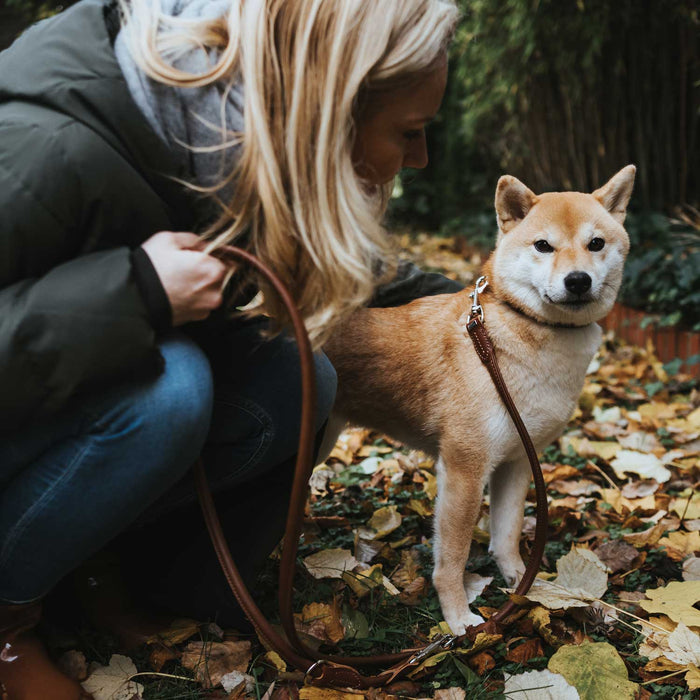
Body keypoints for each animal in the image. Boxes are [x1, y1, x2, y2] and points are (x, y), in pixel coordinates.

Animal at [326, 165, 636, 636]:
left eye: (596, 244)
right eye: (543, 245)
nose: (578, 280)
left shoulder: (517, 460)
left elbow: (506, 538)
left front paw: (527, 588)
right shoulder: (464, 467)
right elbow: (451, 560)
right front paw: (458, 621)